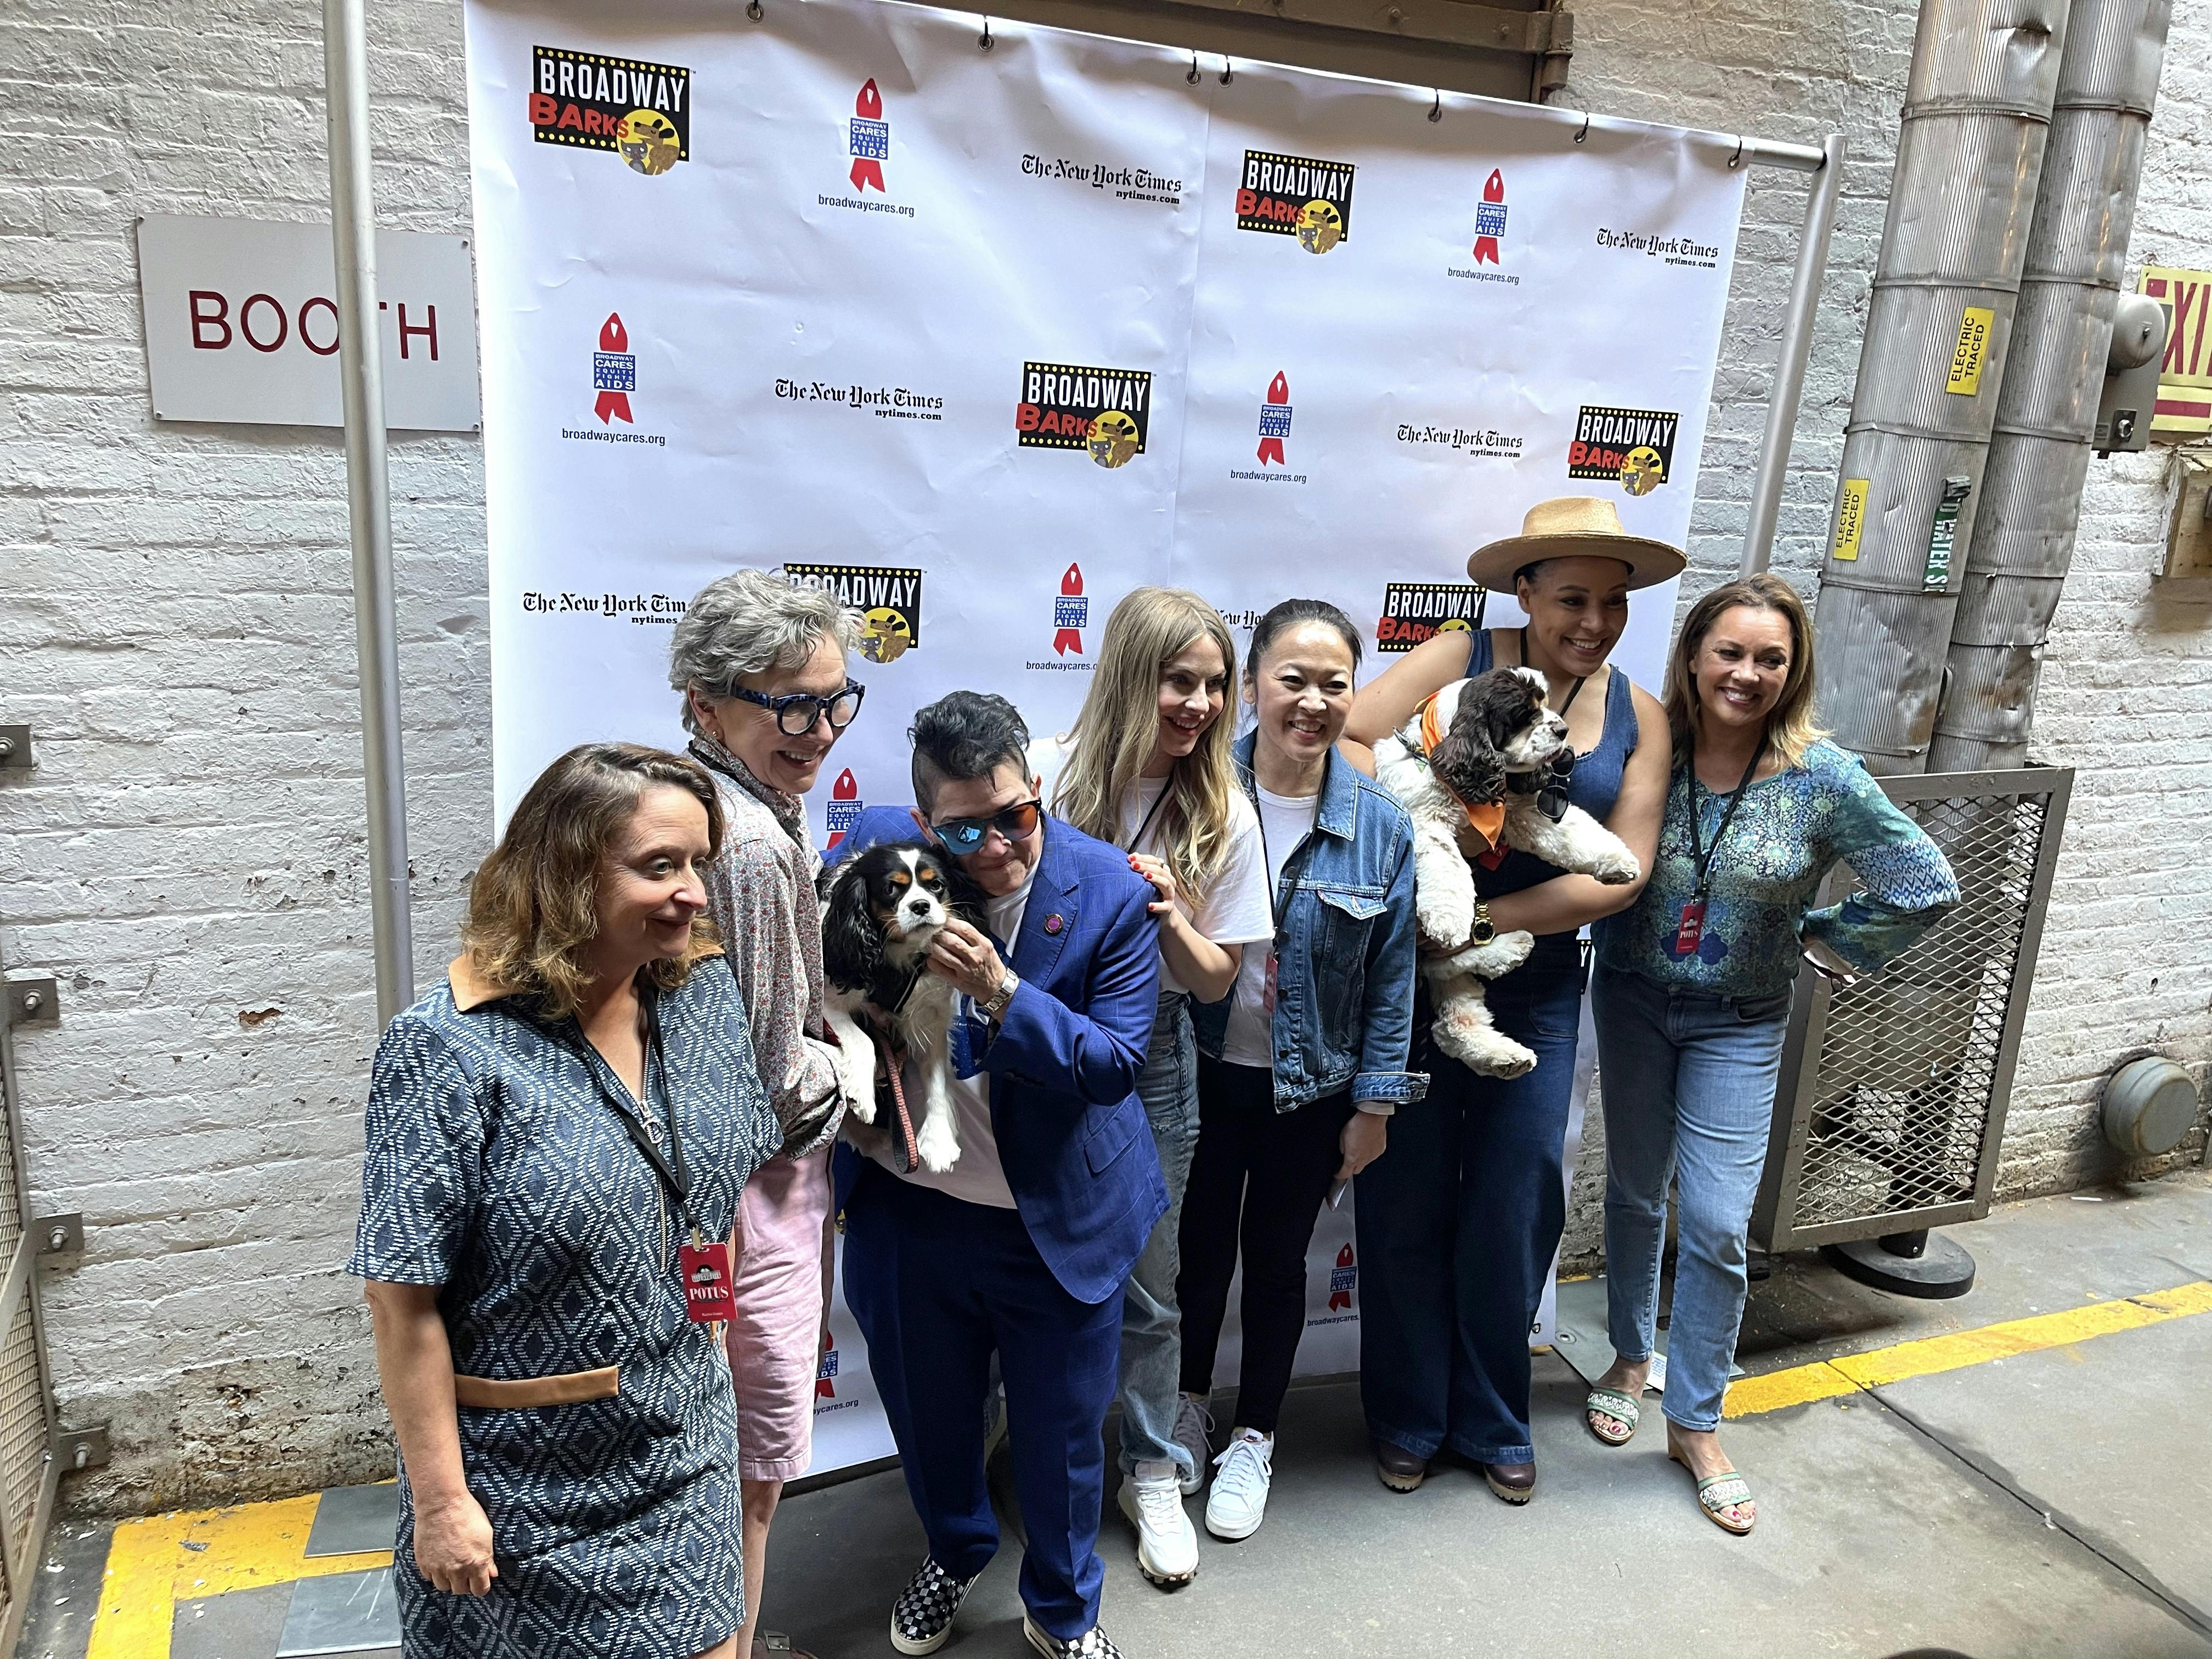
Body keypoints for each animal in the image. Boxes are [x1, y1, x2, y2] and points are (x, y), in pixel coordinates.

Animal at [819, 843, 988, 1173]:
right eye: (890, 889)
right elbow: (864, 1041)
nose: (921, 905)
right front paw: (862, 1095)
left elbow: (936, 1078)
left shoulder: (930, 1019)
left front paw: (938, 1140)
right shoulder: (827, 1000)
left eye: (936, 885)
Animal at [1374, 666, 1640, 1077]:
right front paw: (1449, 918)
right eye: (1524, 713)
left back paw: (1505, 1052)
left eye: (1546, 703)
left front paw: (1618, 861)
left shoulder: (1523, 812)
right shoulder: (1424, 820)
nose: (1563, 730)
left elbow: (1573, 832)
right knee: (1442, 965)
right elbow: (1446, 865)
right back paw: (1511, 946)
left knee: (1451, 1016)